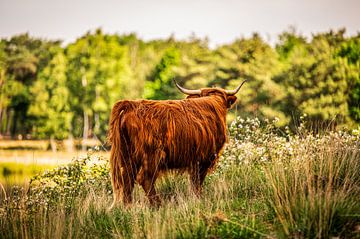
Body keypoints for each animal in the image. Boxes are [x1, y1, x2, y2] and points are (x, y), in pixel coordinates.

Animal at [108, 80, 246, 207]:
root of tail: (131, 104)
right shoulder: (204, 158)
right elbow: (198, 181)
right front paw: (198, 199)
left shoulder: (194, 160)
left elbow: (194, 181)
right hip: (151, 155)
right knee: (145, 179)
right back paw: (158, 205)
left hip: (127, 155)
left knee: (127, 178)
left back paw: (128, 206)